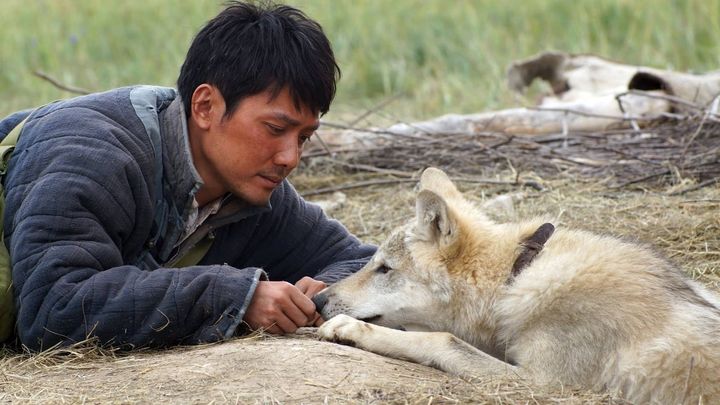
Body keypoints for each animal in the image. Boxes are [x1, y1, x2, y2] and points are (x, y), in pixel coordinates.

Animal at [316, 166, 720, 400]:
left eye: (384, 269)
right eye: (374, 263)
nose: (318, 300)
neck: (515, 276)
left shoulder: (543, 384)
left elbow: (442, 340)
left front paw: (350, 329)